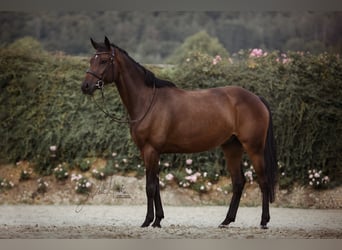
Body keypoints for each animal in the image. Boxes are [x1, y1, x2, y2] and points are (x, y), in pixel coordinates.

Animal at [81, 36, 276, 229]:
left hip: (254, 148)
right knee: (238, 182)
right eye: (91, 60)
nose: (85, 86)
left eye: (104, 61)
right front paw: (158, 220)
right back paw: (226, 221)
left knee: (263, 181)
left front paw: (147, 220)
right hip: (232, 147)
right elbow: (155, 185)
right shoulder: (148, 152)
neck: (148, 102)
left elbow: (150, 187)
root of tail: (256, 98)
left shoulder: (151, 150)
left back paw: (264, 221)